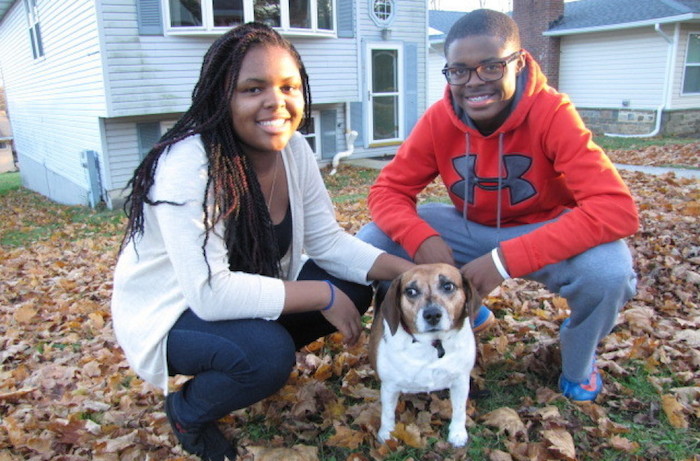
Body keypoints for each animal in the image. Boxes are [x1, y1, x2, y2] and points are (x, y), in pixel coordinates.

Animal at [370, 262, 478, 446]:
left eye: (448, 286)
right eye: (411, 291)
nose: (432, 314)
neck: (433, 344)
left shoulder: (461, 380)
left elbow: (459, 410)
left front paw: (457, 433)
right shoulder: (390, 386)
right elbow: (387, 413)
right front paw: (387, 434)